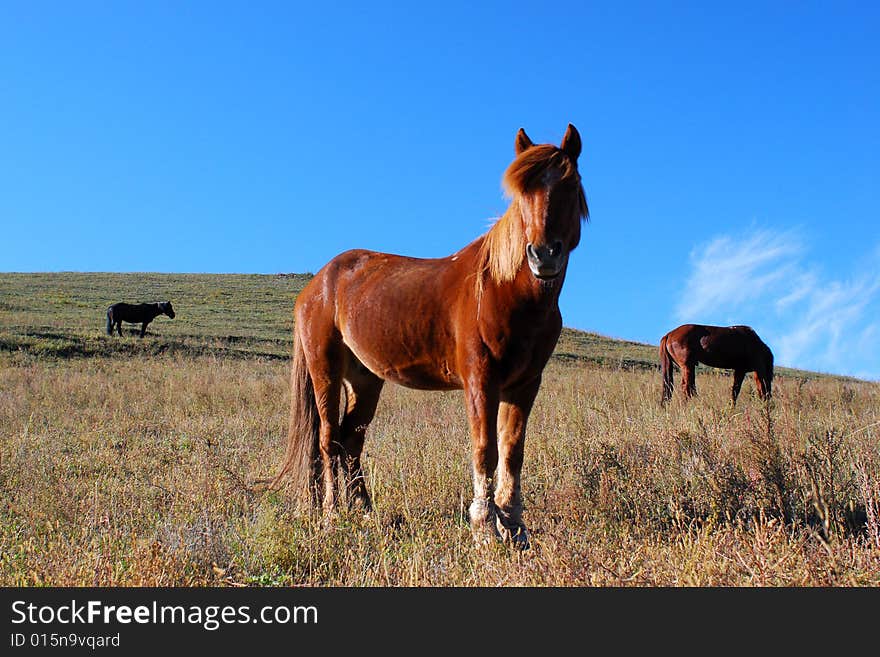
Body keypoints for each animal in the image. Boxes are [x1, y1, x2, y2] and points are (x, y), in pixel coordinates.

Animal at [272, 123, 588, 548]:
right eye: (523, 192)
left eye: (570, 184)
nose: (543, 255)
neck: (502, 290)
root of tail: (316, 285)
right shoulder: (481, 381)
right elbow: (485, 451)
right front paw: (485, 528)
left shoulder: (524, 385)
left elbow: (512, 452)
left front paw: (515, 527)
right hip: (326, 370)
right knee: (327, 439)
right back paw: (331, 516)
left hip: (365, 379)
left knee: (351, 439)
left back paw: (366, 514)